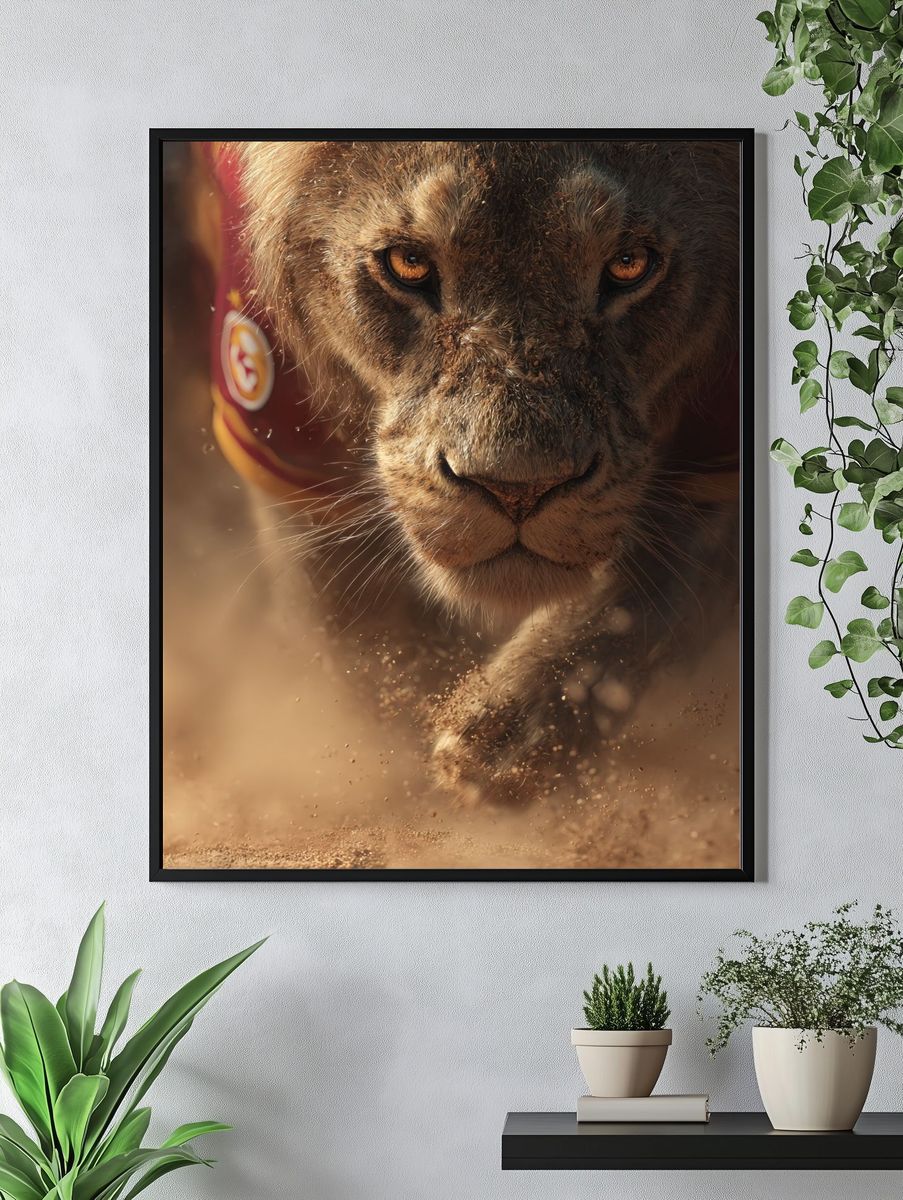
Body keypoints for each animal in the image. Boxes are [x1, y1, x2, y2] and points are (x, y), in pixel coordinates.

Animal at [174, 138, 741, 805]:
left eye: (629, 264)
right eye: (409, 263)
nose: (517, 488)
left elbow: (658, 586)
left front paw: (511, 732)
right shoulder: (283, 435)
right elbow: (362, 649)